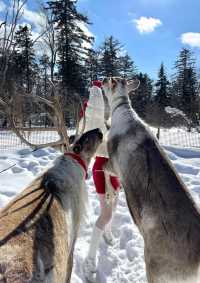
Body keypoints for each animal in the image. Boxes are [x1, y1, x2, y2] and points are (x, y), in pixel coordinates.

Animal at [102, 77, 200, 283]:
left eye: (111, 80)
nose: (102, 79)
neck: (121, 109)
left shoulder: (114, 163)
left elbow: (103, 170)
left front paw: (109, 193)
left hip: (154, 265)